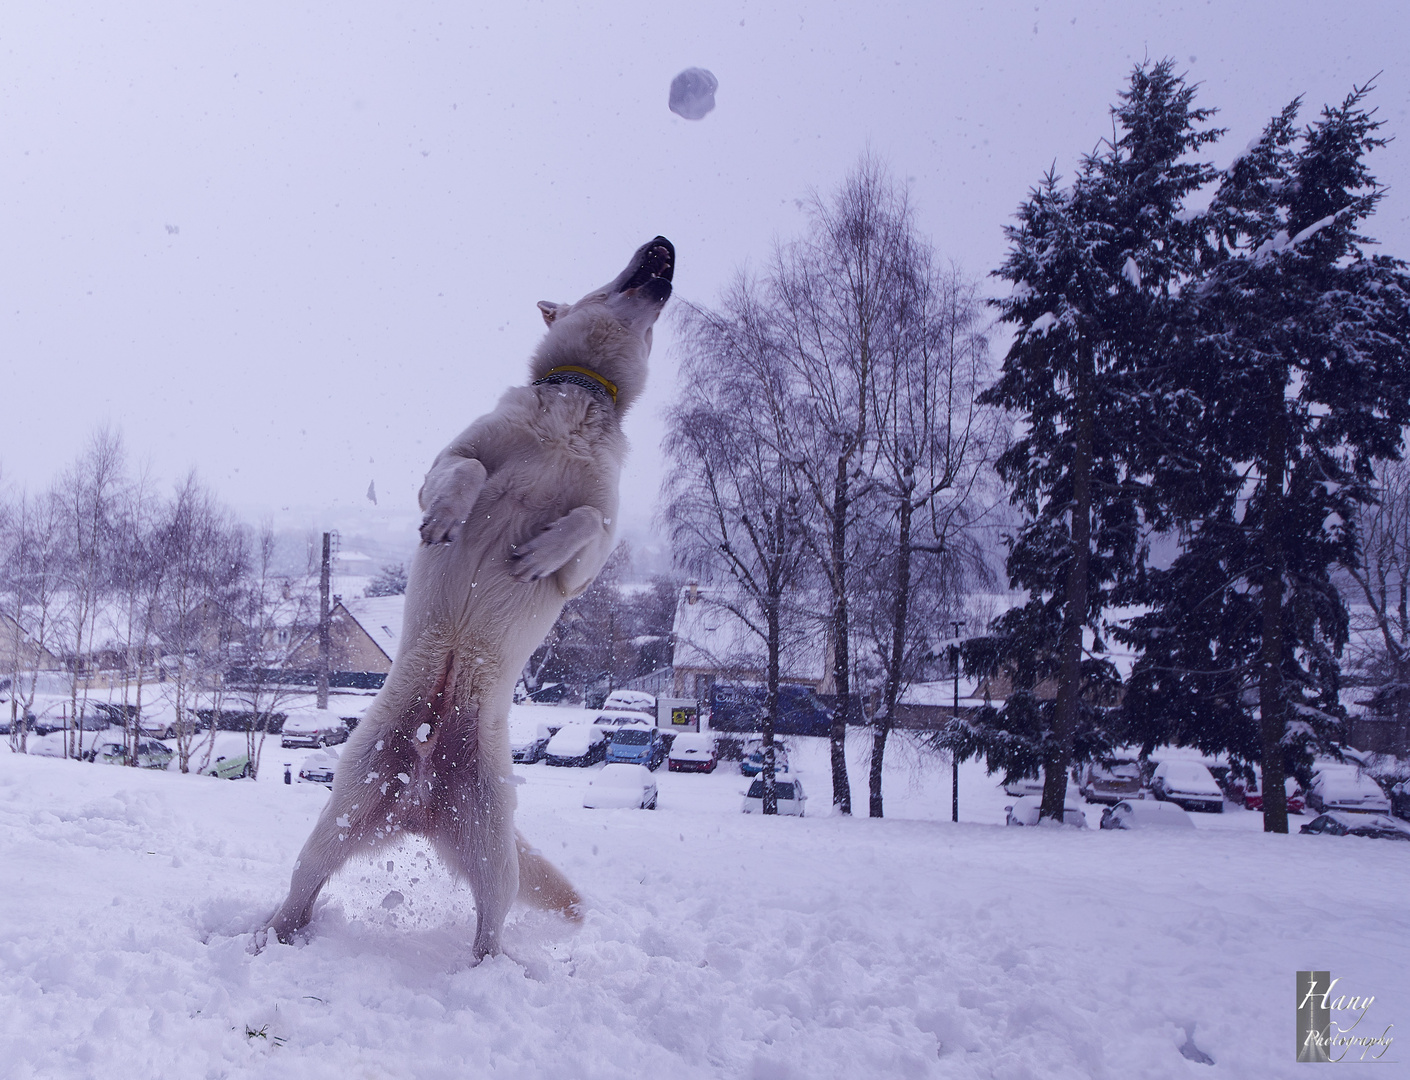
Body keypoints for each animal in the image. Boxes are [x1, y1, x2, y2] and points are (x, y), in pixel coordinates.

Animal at [273, 234, 676, 958]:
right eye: (618, 274)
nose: (665, 243)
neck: (578, 399)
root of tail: (420, 805)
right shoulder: (446, 461)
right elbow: (466, 470)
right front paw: (448, 520)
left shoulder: (594, 555)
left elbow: (583, 523)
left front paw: (539, 552)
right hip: (339, 820)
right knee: (300, 894)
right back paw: (266, 939)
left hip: (493, 854)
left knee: (490, 931)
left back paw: (495, 970)